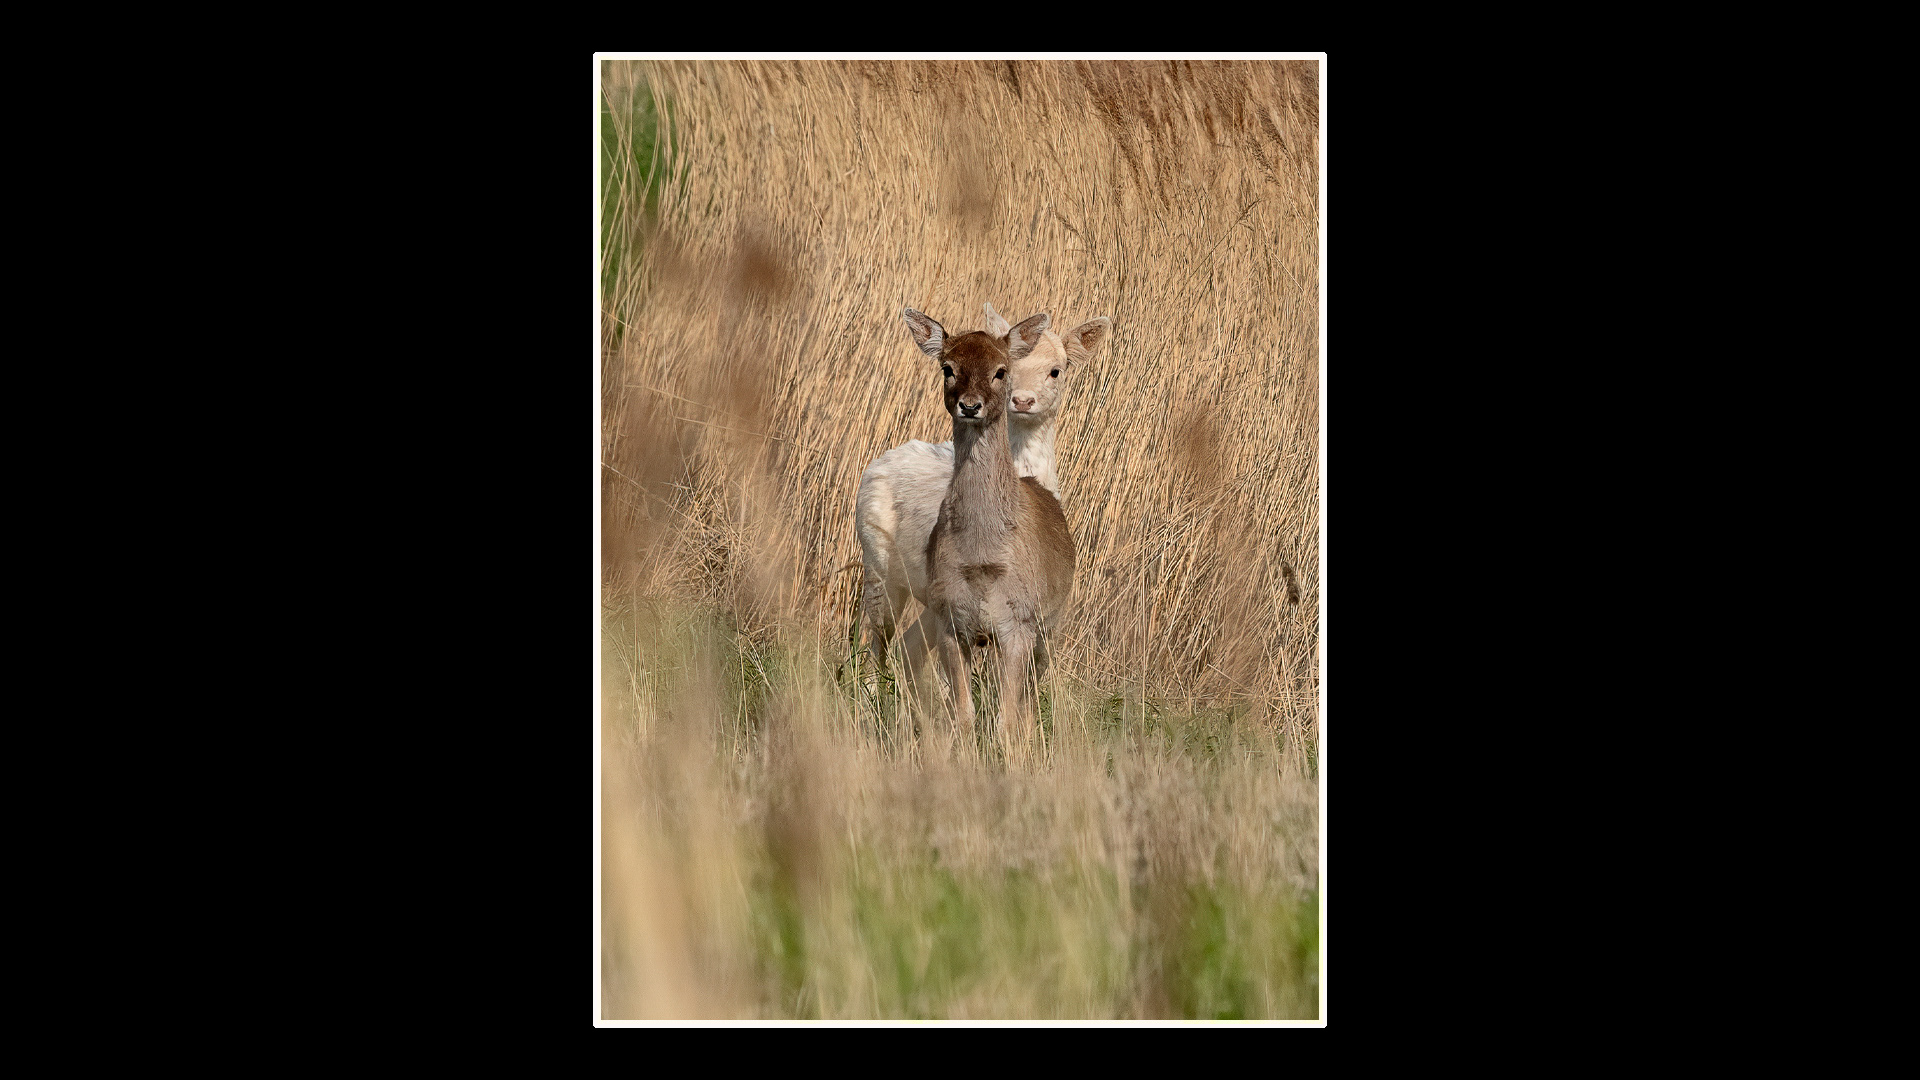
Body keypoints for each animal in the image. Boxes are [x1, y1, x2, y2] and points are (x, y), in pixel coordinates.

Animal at [855, 304, 1110, 687]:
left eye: (1056, 369)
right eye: (1013, 369)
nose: (1022, 400)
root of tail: (877, 463)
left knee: (908, 647)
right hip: (878, 563)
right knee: (875, 646)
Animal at [880, 307, 1078, 759]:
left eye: (1001, 370)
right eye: (948, 367)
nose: (970, 406)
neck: (982, 557)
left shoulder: (1018, 623)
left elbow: (1006, 721)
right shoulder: (952, 622)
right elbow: (965, 716)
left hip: (1051, 626)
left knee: (1030, 703)